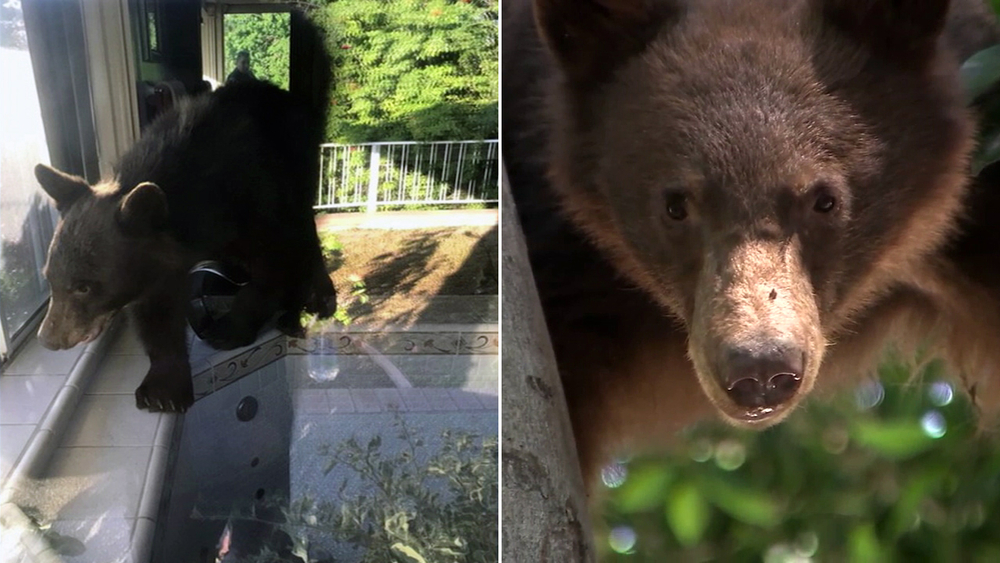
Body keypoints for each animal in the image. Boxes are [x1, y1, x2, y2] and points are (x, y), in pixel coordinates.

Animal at [34, 16, 336, 414]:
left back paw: (303, 305)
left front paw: (229, 330)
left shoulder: (256, 197)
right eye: (49, 278)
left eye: (84, 286)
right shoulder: (157, 260)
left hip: (298, 168)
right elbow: (156, 312)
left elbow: (272, 262)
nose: (50, 338)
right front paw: (163, 388)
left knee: (303, 234)